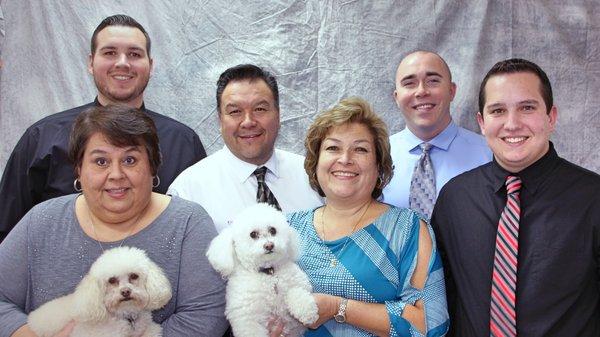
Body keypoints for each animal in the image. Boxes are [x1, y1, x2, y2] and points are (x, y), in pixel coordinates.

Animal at [206, 202, 318, 336]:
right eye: (253, 234)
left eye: (273, 230)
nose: (269, 245)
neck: (269, 273)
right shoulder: (247, 320)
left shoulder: (299, 284)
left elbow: (296, 291)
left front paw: (307, 311)